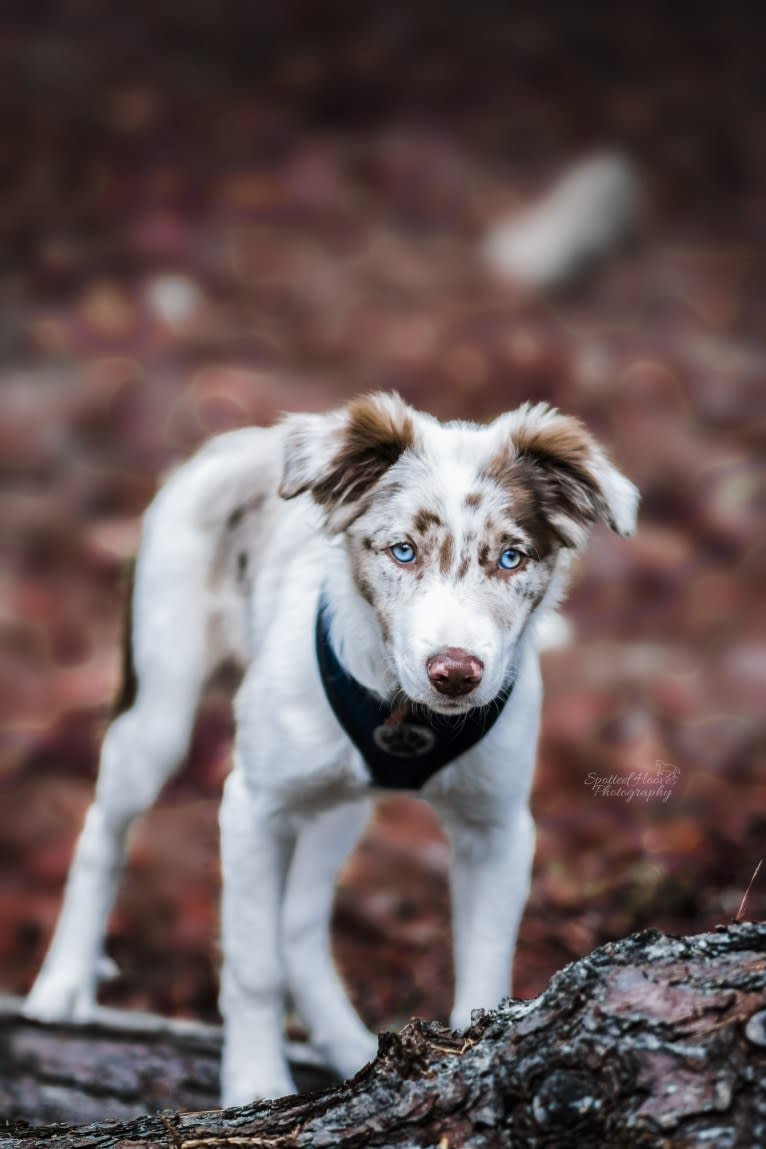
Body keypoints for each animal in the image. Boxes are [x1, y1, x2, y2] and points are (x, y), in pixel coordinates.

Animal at [23, 392, 638, 1103]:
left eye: (510, 558)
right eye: (402, 551)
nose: (455, 673)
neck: (405, 711)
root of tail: (242, 439)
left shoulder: (499, 826)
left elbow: (485, 967)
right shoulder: (254, 806)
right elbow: (253, 965)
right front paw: (256, 1086)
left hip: (338, 806)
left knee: (299, 924)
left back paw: (350, 1047)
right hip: (158, 706)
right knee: (104, 830)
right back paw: (62, 984)